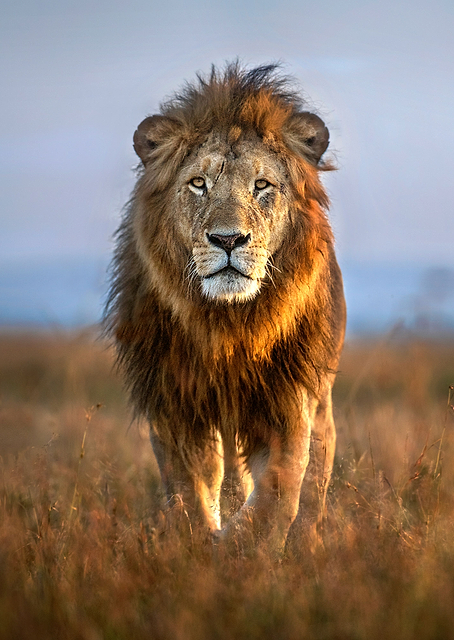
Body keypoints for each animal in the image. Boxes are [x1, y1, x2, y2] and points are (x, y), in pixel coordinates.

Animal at [105, 62, 346, 554]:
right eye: (199, 183)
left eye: (262, 185)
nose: (229, 239)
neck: (229, 324)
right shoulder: (175, 400)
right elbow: (189, 488)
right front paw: (200, 544)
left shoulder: (288, 398)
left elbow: (279, 488)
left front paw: (243, 548)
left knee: (315, 476)